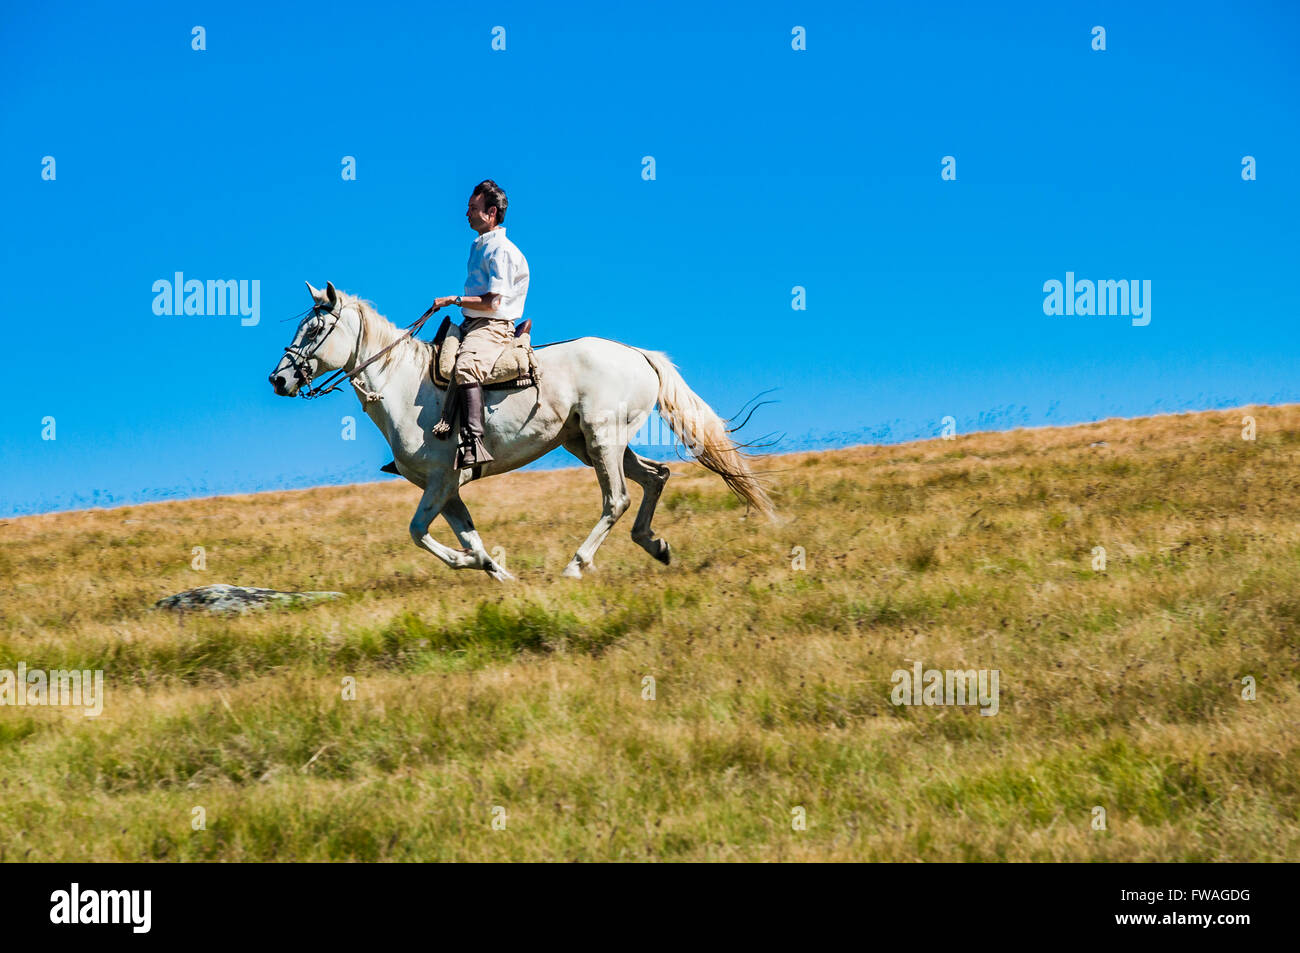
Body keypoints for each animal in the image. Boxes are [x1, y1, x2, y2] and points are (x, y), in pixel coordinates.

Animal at [266, 280, 769, 579]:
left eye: (314, 330)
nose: (279, 380)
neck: (402, 384)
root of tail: (638, 354)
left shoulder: (442, 481)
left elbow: (419, 533)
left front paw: (468, 562)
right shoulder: (448, 490)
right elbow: (468, 536)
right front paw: (498, 573)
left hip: (603, 441)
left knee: (617, 499)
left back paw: (576, 566)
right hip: (587, 442)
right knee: (656, 477)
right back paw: (656, 546)